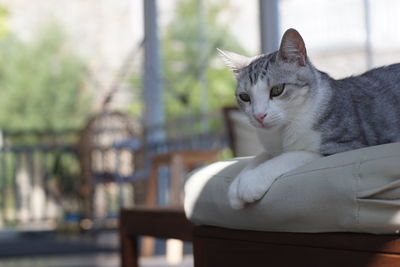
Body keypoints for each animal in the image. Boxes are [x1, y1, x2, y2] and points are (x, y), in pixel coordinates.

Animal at [219, 28, 400, 209]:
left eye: (277, 90)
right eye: (244, 97)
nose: (258, 116)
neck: (281, 133)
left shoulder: (346, 145)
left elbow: (292, 156)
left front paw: (250, 182)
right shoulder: (270, 147)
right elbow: (259, 157)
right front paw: (235, 187)